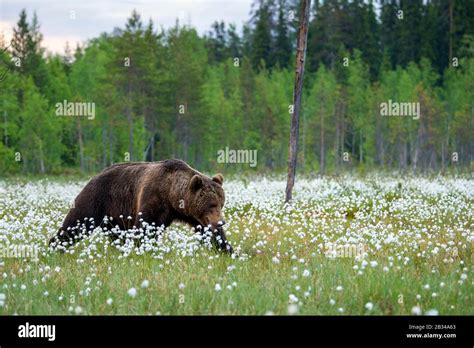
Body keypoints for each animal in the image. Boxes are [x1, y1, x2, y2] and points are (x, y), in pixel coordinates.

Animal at [49, 160, 232, 253]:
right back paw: (55, 246)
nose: (221, 222)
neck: (171, 194)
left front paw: (227, 249)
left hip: (115, 215)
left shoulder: (192, 215)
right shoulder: (153, 198)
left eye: (221, 203)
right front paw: (141, 250)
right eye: (211, 204)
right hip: (96, 199)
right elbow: (145, 227)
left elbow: (209, 233)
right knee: (77, 221)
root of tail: (96, 175)